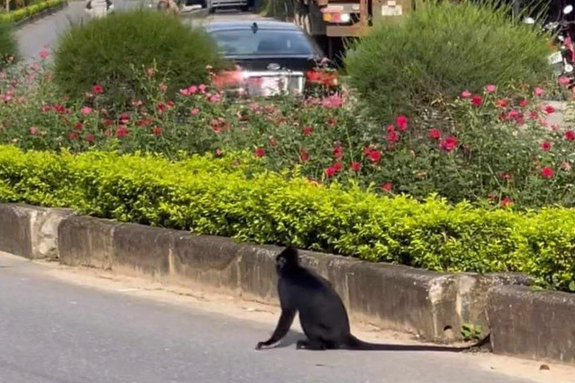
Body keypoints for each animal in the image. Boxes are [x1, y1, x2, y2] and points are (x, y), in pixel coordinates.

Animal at [256, 248, 490, 352]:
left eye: (278, 262)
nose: (275, 265)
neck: (295, 269)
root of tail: (345, 335)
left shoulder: (284, 284)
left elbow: (287, 314)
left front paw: (267, 342)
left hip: (322, 330)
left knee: (306, 317)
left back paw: (316, 345)